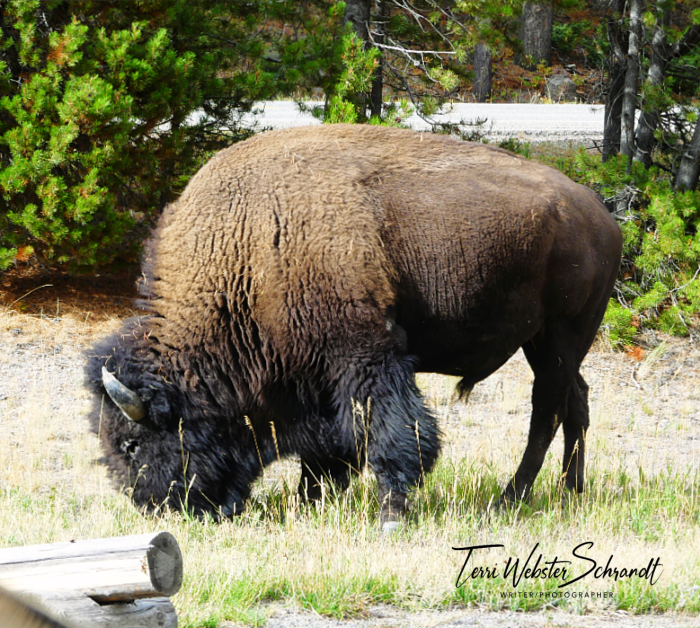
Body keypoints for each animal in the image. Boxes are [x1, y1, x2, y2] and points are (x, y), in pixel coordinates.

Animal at [86, 124, 622, 524]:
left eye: (132, 443)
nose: (155, 508)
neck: (248, 251)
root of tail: (600, 213)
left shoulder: (366, 357)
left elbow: (389, 431)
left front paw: (391, 512)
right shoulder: (314, 380)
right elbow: (330, 446)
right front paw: (311, 499)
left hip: (559, 337)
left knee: (546, 412)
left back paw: (511, 498)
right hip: (550, 344)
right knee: (576, 402)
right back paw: (570, 492)